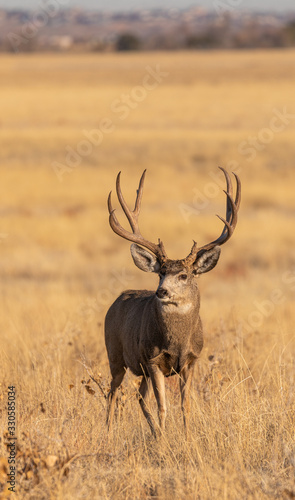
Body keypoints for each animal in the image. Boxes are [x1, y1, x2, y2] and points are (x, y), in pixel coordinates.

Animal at [105, 167, 242, 434]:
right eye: (160, 272)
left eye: (184, 275)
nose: (162, 292)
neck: (177, 340)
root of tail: (117, 300)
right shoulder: (153, 360)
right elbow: (162, 407)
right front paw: (165, 440)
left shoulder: (191, 360)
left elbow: (185, 406)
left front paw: (186, 439)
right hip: (115, 354)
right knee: (113, 393)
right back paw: (107, 432)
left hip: (140, 369)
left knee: (139, 396)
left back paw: (152, 432)